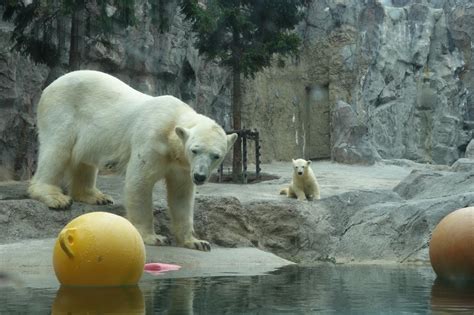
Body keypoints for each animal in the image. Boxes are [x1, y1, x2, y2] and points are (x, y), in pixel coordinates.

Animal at [28, 71, 237, 252]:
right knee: (57, 148)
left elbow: (181, 196)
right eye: (195, 150)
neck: (172, 123)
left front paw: (196, 241)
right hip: (62, 110)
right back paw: (56, 197)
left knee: (84, 161)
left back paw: (95, 196)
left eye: (216, 155)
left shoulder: (182, 167)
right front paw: (154, 237)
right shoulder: (151, 141)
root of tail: (50, 87)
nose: (200, 176)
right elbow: (140, 182)